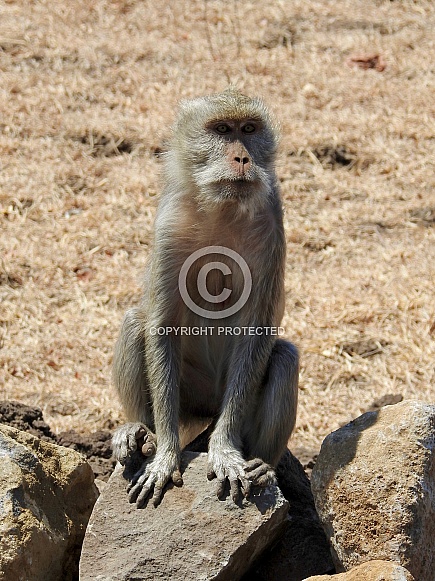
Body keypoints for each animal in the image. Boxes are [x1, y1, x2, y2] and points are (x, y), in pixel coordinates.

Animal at [111, 87, 300, 508]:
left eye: (249, 130)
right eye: (222, 130)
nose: (242, 157)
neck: (221, 209)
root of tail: (204, 412)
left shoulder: (271, 221)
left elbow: (257, 330)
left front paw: (226, 450)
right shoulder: (169, 224)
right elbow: (162, 325)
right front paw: (166, 455)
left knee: (283, 356)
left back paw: (263, 465)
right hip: (190, 394)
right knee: (135, 323)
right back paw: (139, 431)